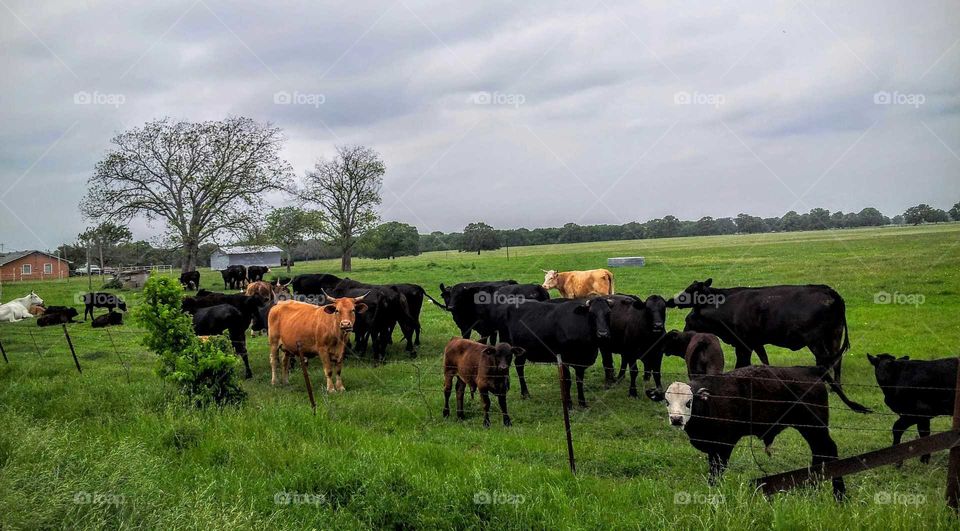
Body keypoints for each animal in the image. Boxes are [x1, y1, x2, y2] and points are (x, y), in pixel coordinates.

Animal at [665, 364, 870, 500]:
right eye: (667, 402)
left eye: (689, 402)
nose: (676, 419)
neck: (711, 401)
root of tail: (810, 368)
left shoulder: (723, 446)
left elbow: (716, 472)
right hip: (810, 429)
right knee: (819, 452)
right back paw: (812, 487)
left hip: (815, 426)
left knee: (829, 450)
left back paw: (839, 495)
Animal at [666, 279, 854, 393]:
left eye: (688, 320)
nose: (670, 301)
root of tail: (828, 291)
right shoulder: (756, 342)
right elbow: (764, 360)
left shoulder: (744, 344)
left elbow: (741, 364)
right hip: (834, 335)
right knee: (836, 360)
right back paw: (836, 386)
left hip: (815, 340)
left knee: (825, 360)